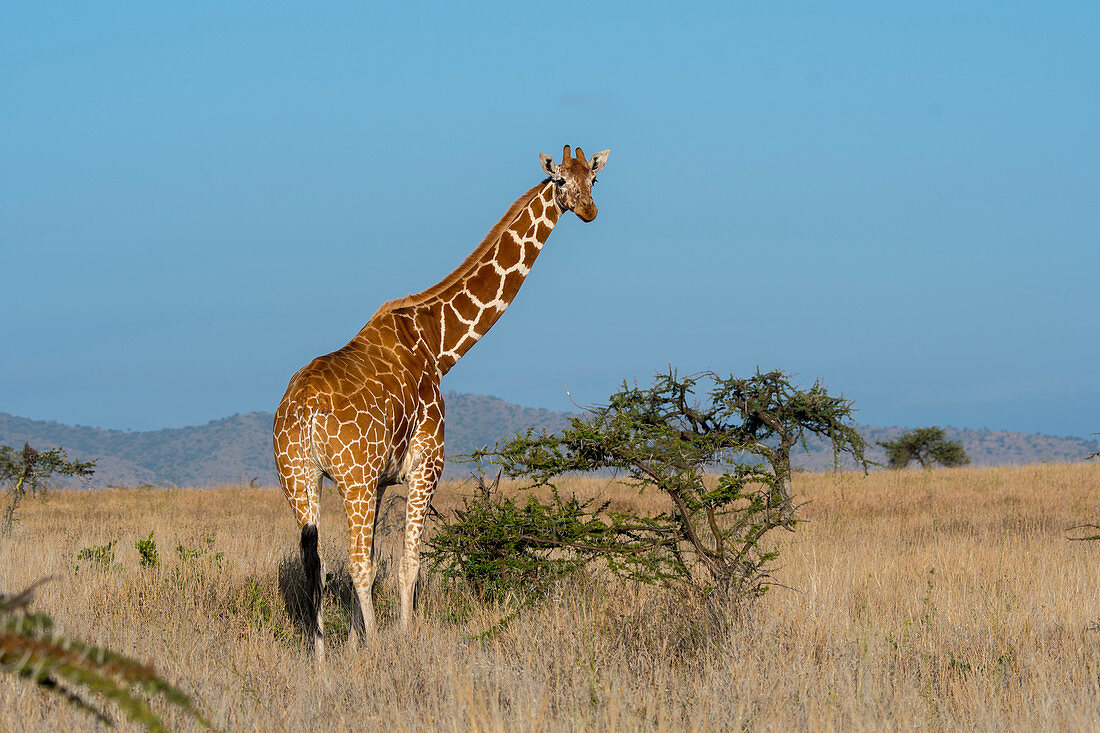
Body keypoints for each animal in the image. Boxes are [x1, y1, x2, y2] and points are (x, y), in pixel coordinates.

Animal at [269, 144, 607, 655]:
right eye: (561, 181)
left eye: (594, 178)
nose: (588, 210)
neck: (437, 345)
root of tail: (302, 411)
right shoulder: (425, 465)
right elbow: (409, 565)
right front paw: (399, 640)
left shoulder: (383, 480)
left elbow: (376, 561)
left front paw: (357, 641)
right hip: (350, 480)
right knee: (355, 566)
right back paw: (373, 649)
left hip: (300, 477)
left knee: (316, 565)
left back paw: (322, 656)